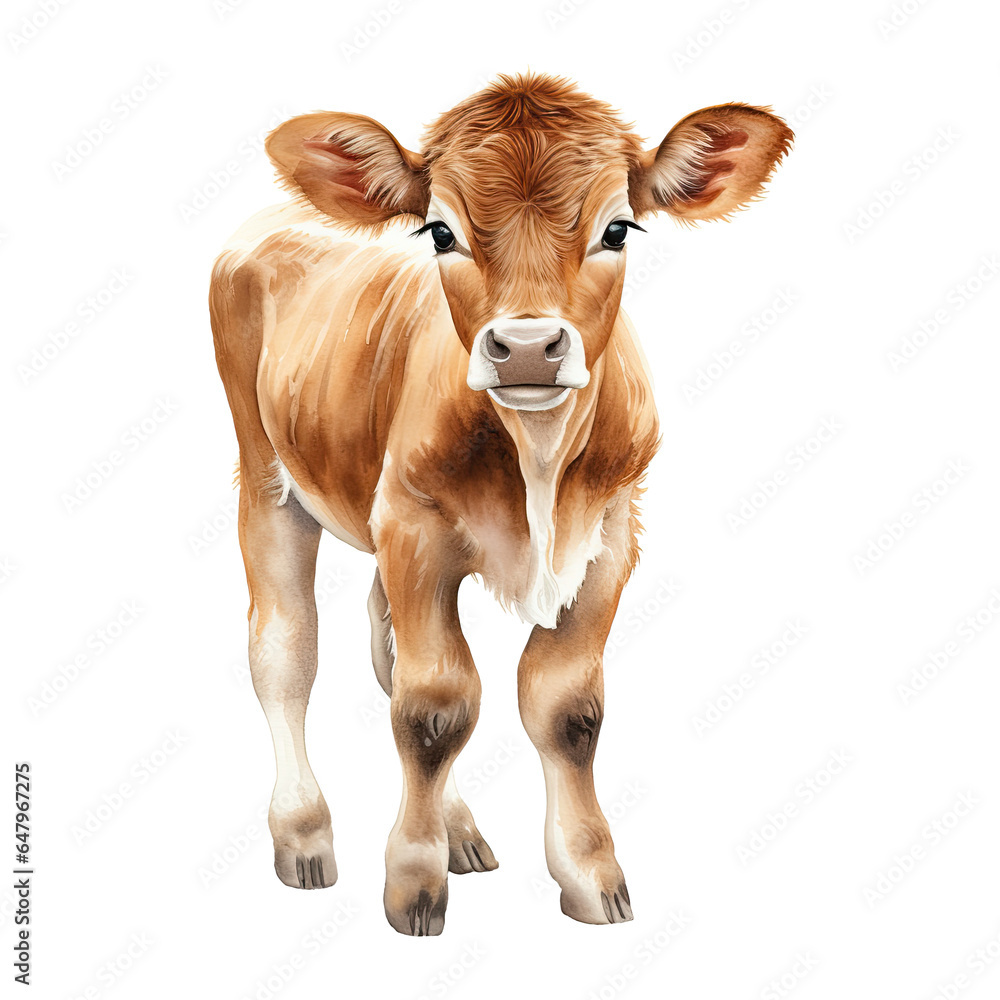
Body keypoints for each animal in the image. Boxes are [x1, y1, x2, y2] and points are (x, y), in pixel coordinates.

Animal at [209, 72, 792, 935]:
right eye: (439, 232)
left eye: (617, 228)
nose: (524, 348)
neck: (539, 461)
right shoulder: (415, 531)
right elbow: (435, 706)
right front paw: (413, 885)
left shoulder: (611, 539)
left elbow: (564, 707)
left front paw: (590, 876)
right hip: (267, 479)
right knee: (285, 652)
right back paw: (305, 833)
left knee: (386, 655)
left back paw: (458, 830)